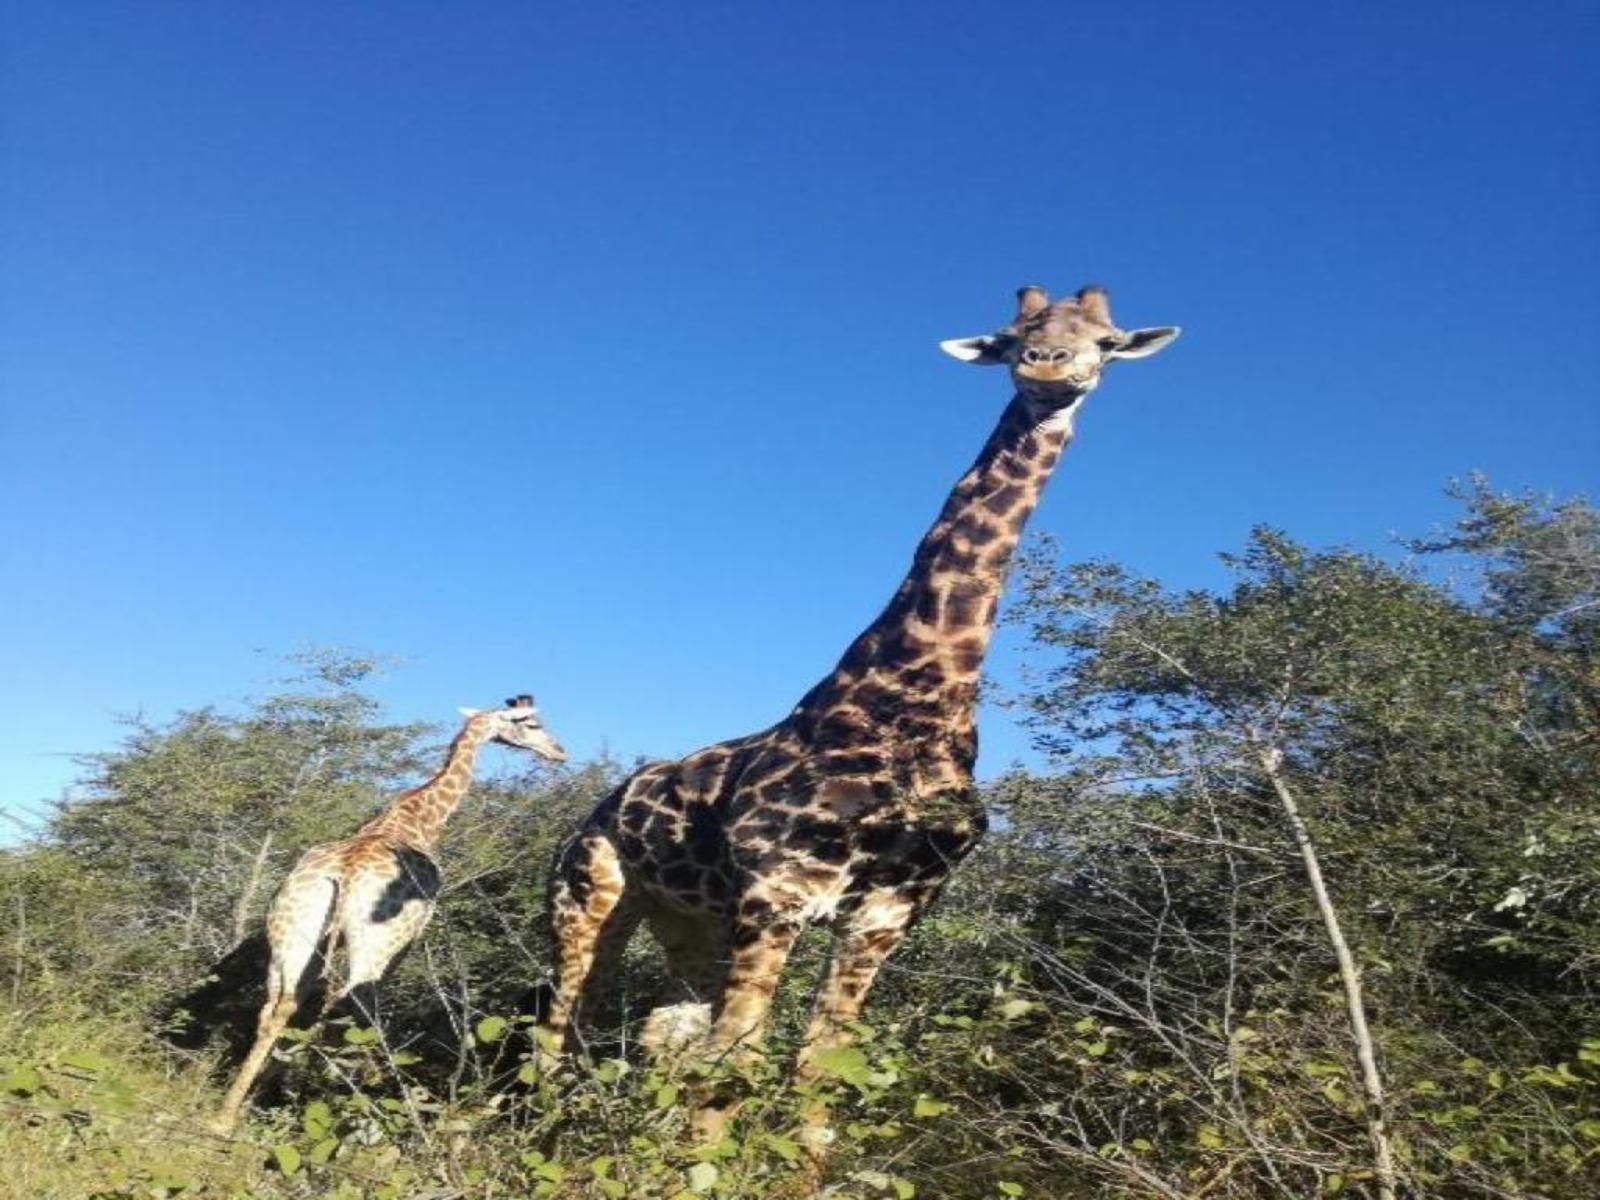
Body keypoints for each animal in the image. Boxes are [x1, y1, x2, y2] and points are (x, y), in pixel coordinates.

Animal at [209, 694, 566, 1139]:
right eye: (531, 724)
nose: (559, 752)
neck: (418, 819)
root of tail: (344, 874)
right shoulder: (409, 938)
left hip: (291, 931)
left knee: (277, 1006)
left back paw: (228, 1116)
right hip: (374, 944)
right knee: (348, 1007)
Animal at [537, 286, 1177, 1094]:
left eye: (1106, 340)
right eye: (1010, 337)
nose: (1048, 366)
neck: (917, 699)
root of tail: (600, 806)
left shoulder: (885, 913)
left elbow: (817, 1067)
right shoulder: (778, 892)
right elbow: (736, 1061)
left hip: (690, 920)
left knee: (659, 1028)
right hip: (588, 896)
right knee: (559, 1033)